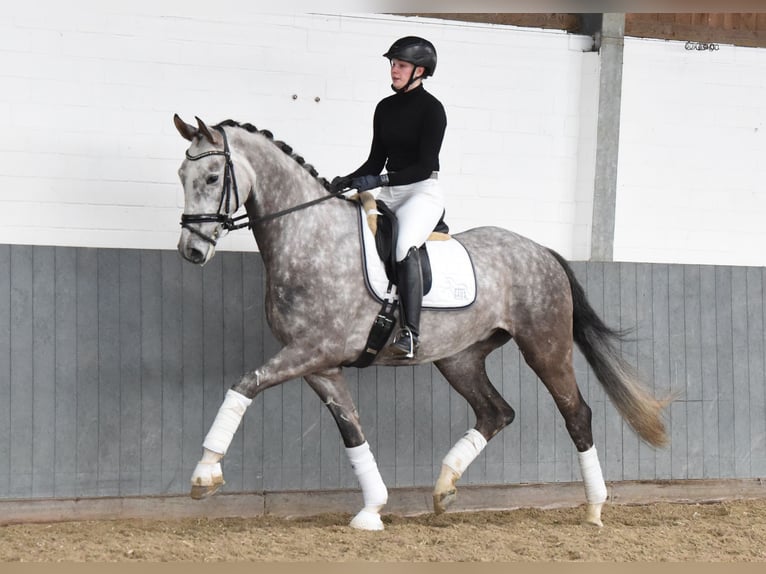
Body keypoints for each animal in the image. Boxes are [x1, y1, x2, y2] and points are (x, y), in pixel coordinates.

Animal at [171, 115, 668, 532]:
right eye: (181, 176)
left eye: (212, 177)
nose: (191, 251)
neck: (310, 237)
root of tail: (541, 250)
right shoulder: (320, 364)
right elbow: (352, 429)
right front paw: (372, 510)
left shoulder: (313, 350)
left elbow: (244, 384)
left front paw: (204, 474)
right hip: (459, 358)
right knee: (496, 412)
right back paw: (444, 488)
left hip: (545, 347)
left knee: (576, 414)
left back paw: (594, 508)